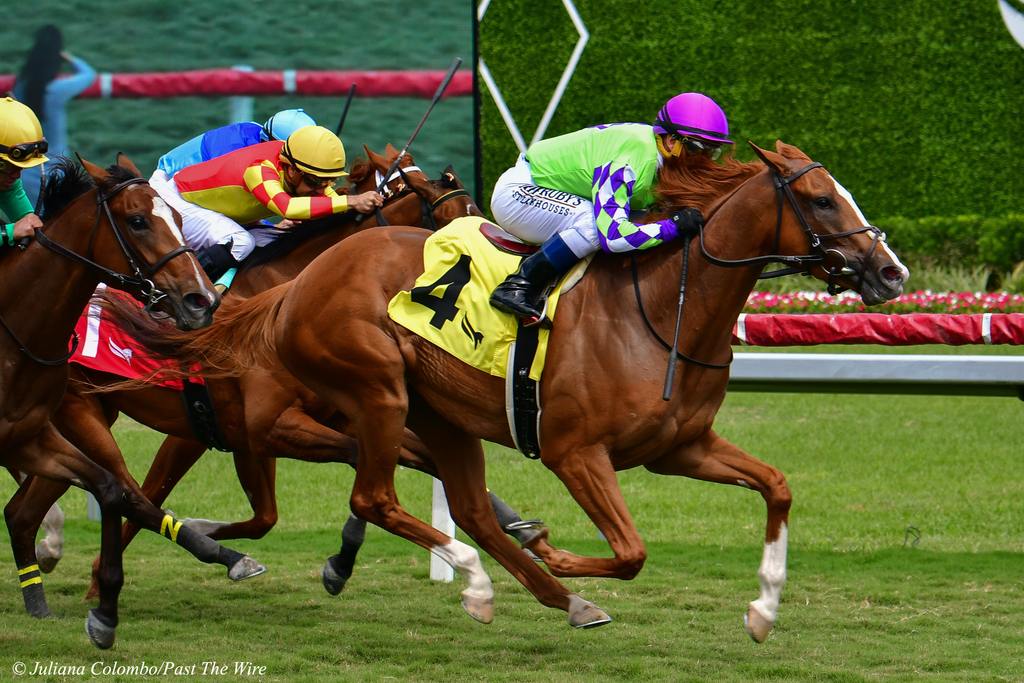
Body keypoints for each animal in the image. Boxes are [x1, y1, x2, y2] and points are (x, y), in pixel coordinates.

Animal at [1, 156, 264, 651]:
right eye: (138, 221)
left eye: (178, 217)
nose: (201, 300)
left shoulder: (27, 435)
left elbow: (113, 490)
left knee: (27, 510)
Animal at [9, 147, 483, 602]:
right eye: (454, 220)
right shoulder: (218, 426)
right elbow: (155, 491)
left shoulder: (285, 426)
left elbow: (268, 514)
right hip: (81, 414)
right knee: (98, 487)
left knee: (26, 505)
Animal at [108, 141, 909, 643]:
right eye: (820, 200)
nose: (892, 272)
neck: (661, 310)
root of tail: (302, 282)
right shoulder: (573, 450)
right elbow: (631, 551)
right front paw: (556, 549)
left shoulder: (680, 447)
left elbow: (776, 486)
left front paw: (764, 608)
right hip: (378, 392)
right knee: (375, 494)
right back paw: (490, 581)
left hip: (440, 412)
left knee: (461, 507)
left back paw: (552, 594)